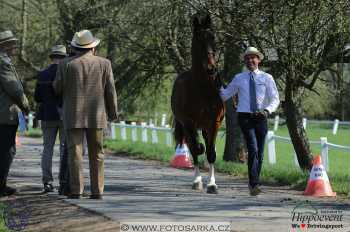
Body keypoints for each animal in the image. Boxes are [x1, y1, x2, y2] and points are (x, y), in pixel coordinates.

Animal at [170, 13, 224, 194]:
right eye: (198, 40)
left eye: (213, 38)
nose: (211, 69)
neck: (202, 88)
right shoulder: (189, 123)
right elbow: (195, 149)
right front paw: (198, 181)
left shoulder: (214, 123)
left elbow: (211, 153)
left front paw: (212, 185)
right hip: (187, 126)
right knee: (193, 147)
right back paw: (197, 180)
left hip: (206, 127)